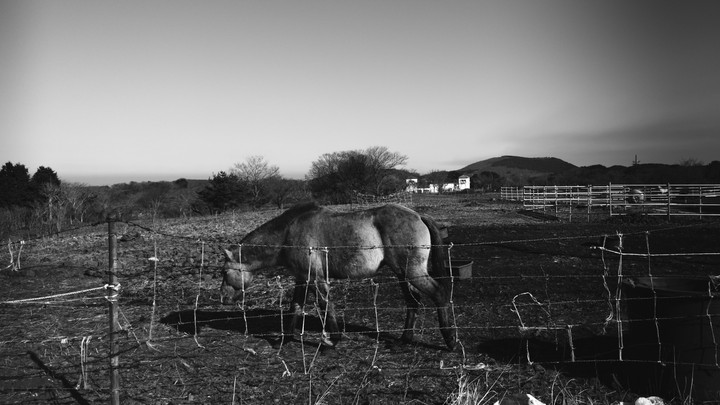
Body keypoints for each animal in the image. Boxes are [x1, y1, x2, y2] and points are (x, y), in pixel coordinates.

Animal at [220, 202, 457, 350]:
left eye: (224, 272)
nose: (222, 297)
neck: (288, 233)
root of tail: (418, 215)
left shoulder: (316, 278)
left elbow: (325, 305)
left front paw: (334, 340)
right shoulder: (303, 278)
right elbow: (295, 307)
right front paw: (284, 339)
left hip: (412, 273)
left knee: (439, 294)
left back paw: (450, 339)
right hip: (402, 274)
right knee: (413, 303)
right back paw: (404, 340)